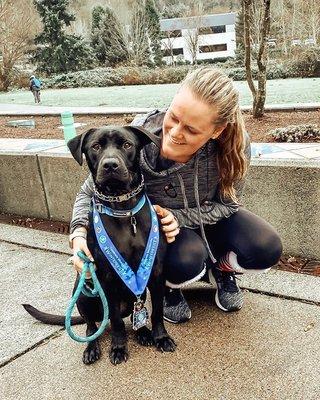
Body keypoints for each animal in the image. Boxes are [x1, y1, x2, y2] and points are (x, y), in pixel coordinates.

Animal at [23, 126, 176, 366]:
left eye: (127, 144)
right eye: (95, 146)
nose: (110, 165)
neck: (125, 210)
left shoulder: (157, 273)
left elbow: (157, 312)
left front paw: (161, 337)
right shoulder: (107, 279)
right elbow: (116, 322)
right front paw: (119, 347)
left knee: (134, 315)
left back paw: (143, 333)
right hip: (83, 294)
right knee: (92, 326)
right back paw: (91, 348)